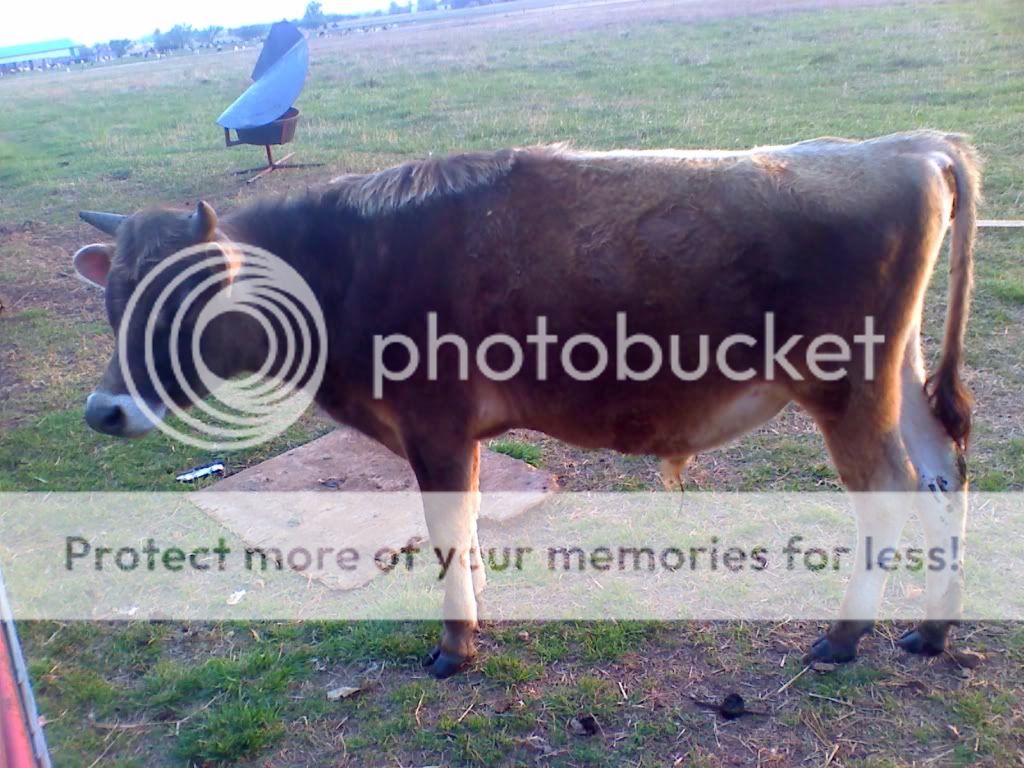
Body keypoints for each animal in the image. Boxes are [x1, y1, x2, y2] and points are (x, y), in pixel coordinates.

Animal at [73, 130, 979, 678]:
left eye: (179, 305)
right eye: (114, 302)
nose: (102, 412)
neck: (348, 263)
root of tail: (906, 146)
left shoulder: (433, 422)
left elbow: (445, 529)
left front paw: (455, 645)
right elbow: (467, 527)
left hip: (846, 385)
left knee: (888, 494)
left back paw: (844, 637)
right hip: (895, 376)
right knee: (943, 473)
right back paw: (932, 631)